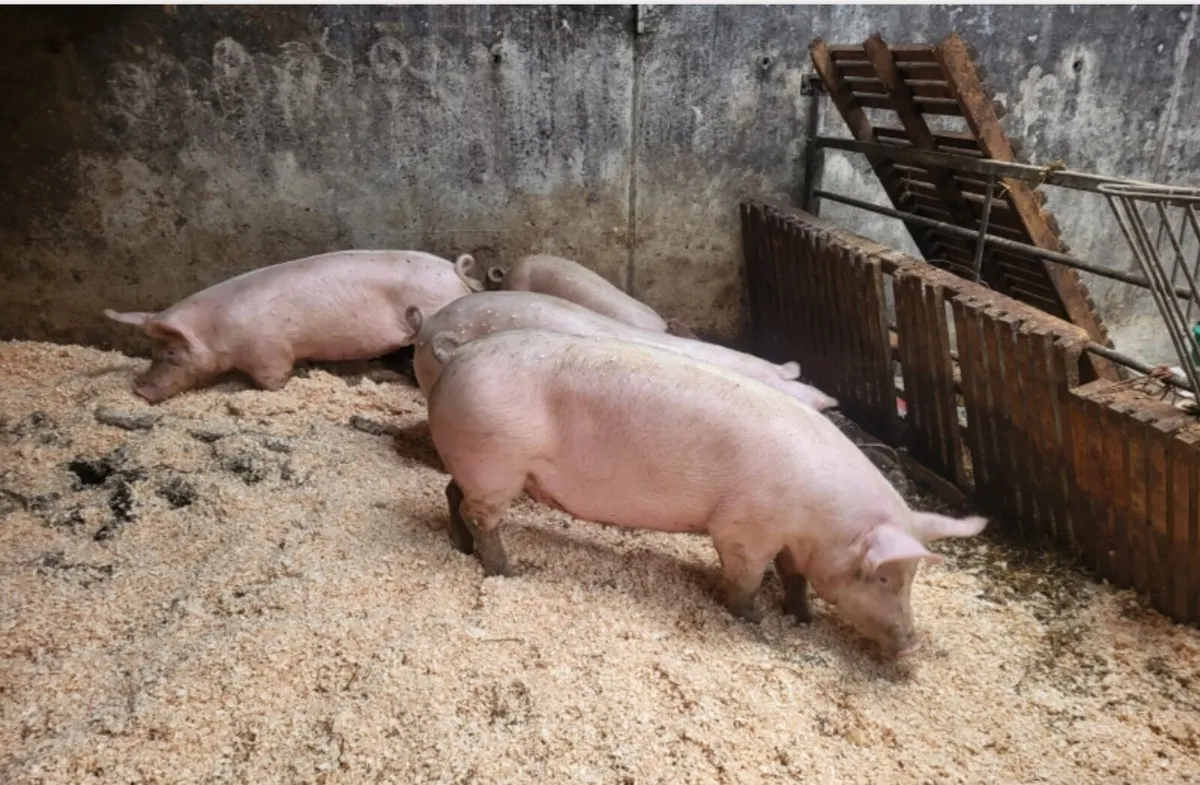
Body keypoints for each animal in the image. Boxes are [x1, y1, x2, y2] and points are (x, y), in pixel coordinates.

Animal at [103, 249, 478, 403]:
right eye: (152, 353)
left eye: (170, 353)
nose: (139, 389)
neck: (216, 331)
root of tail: (453, 271)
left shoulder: (270, 350)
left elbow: (272, 381)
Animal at [425, 328, 986, 657]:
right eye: (885, 577)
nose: (909, 646)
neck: (822, 520)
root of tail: (460, 353)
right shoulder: (743, 529)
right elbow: (745, 578)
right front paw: (755, 618)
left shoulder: (789, 539)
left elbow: (795, 577)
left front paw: (801, 618)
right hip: (497, 464)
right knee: (481, 515)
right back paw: (507, 570)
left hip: (476, 464)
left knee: (452, 495)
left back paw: (461, 547)